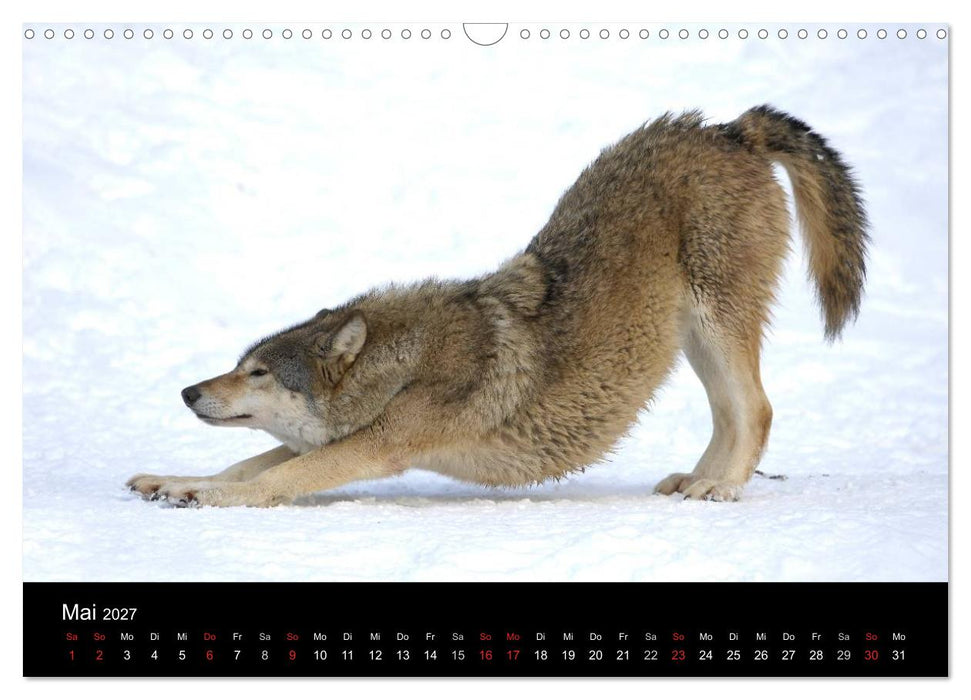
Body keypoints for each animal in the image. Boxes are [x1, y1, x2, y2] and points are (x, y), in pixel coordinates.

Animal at [127, 105, 868, 507]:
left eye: (257, 372)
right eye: (237, 364)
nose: (188, 391)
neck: (402, 365)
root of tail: (730, 129)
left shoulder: (379, 446)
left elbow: (273, 477)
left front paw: (207, 496)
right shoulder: (351, 439)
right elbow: (249, 463)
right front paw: (174, 481)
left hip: (717, 326)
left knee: (757, 409)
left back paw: (720, 490)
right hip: (690, 341)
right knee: (731, 415)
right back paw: (696, 481)